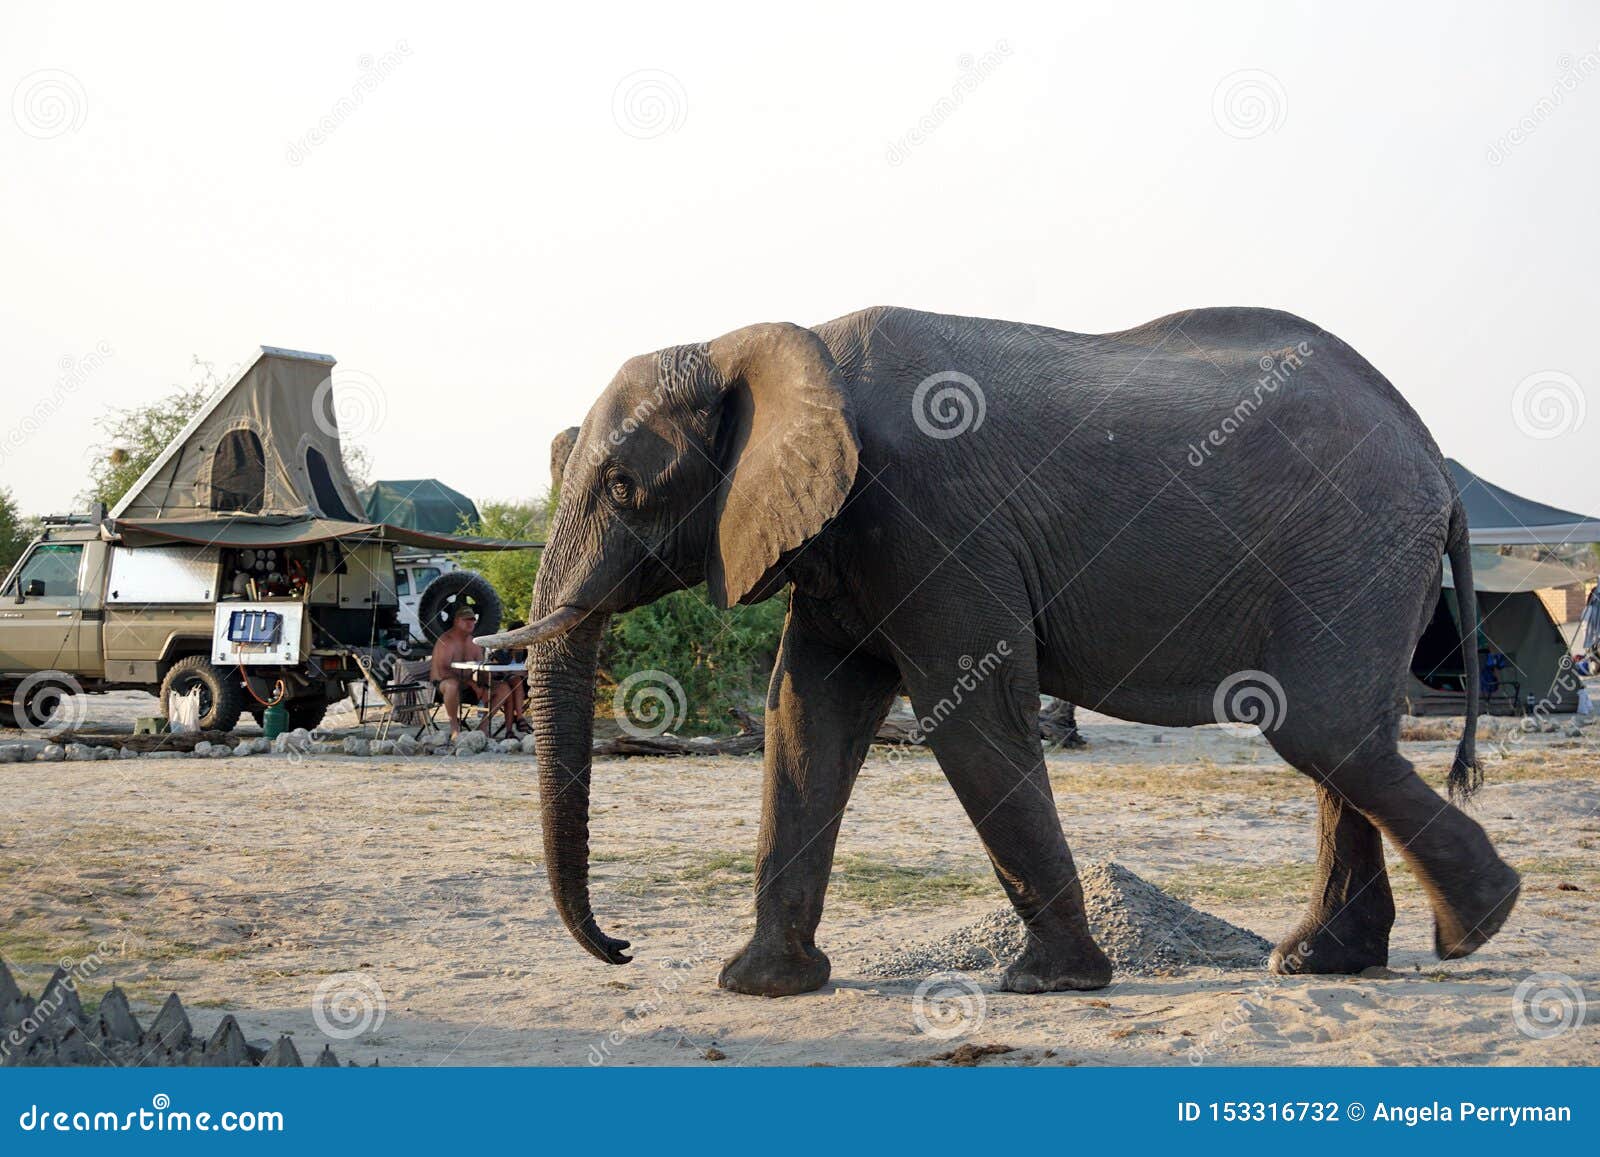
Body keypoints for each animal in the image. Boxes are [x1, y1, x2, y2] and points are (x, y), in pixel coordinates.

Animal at [481, 305, 1521, 997]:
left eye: (625, 485)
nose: (621, 947)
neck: (771, 340)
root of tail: (1439, 465)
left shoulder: (932, 516)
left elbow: (968, 713)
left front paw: (1052, 984)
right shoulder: (840, 544)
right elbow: (807, 716)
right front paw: (760, 985)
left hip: (1353, 550)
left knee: (1324, 731)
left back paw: (1476, 928)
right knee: (1344, 743)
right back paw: (1324, 961)